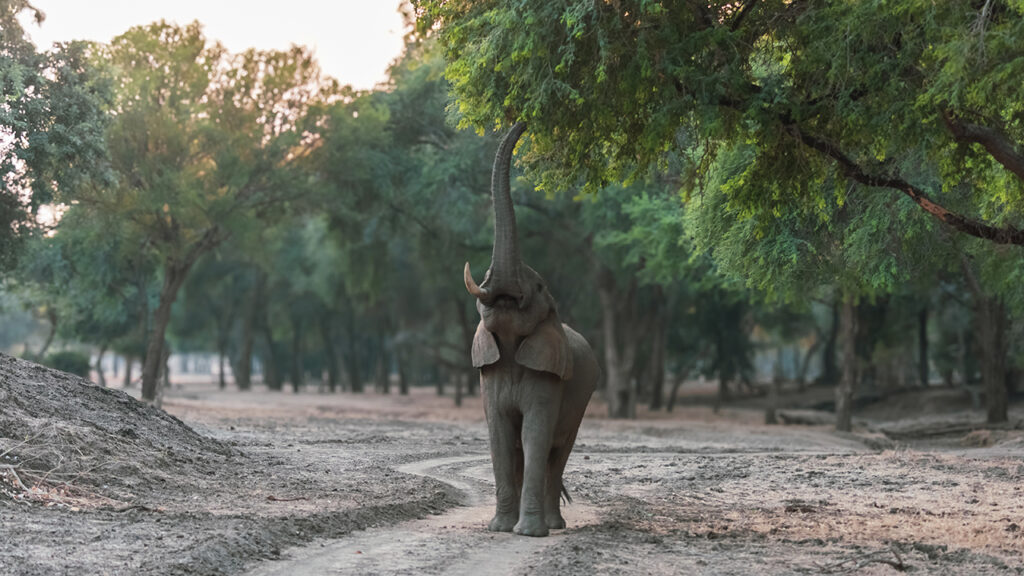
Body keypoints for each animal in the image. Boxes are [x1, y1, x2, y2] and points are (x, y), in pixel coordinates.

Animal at [463, 122, 599, 537]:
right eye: (486, 274)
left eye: (539, 287)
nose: (524, 120)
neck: (511, 345)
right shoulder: (489, 372)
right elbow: (501, 436)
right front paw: (499, 529)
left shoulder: (549, 373)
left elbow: (535, 433)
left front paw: (527, 534)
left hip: (582, 397)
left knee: (558, 451)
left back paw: (553, 525)